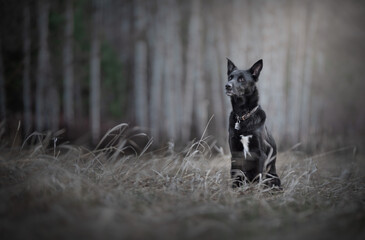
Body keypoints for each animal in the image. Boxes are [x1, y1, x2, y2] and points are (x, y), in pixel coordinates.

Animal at [223, 58, 280, 188]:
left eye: (241, 79)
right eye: (230, 77)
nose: (227, 86)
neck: (243, 116)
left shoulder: (260, 155)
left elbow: (257, 177)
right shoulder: (235, 154)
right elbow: (235, 175)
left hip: (273, 177)